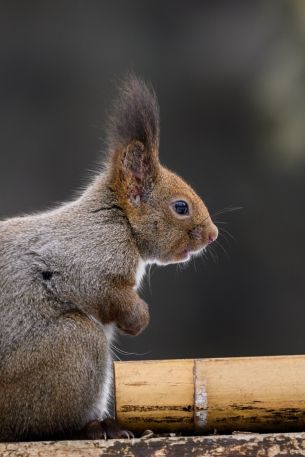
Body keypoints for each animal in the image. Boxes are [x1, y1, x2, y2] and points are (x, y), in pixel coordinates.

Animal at [0, 76, 216, 440]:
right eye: (180, 207)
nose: (212, 234)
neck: (117, 219)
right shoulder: (86, 257)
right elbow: (101, 290)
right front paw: (139, 318)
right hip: (72, 348)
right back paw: (96, 426)